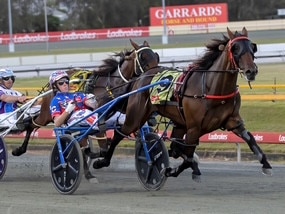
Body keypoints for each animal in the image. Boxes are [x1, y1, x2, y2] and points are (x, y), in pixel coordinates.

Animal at [93, 27, 270, 181]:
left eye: (252, 47)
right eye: (235, 48)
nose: (251, 71)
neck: (211, 87)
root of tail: (141, 77)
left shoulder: (232, 121)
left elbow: (250, 138)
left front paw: (265, 163)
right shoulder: (194, 128)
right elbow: (187, 157)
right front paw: (170, 170)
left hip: (178, 123)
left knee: (175, 147)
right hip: (136, 116)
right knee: (119, 134)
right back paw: (102, 161)